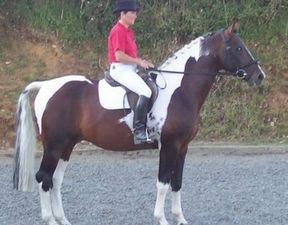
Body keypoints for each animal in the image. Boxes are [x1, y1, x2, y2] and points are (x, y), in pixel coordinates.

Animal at [12, 23, 266, 225]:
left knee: (55, 180)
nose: (260, 76)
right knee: (43, 178)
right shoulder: (169, 145)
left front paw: (180, 219)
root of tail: (45, 85)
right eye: (238, 48)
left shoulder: (183, 147)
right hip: (54, 145)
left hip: (67, 145)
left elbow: (177, 183)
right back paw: (50, 219)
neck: (180, 91)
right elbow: (163, 183)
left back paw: (63, 220)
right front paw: (161, 219)